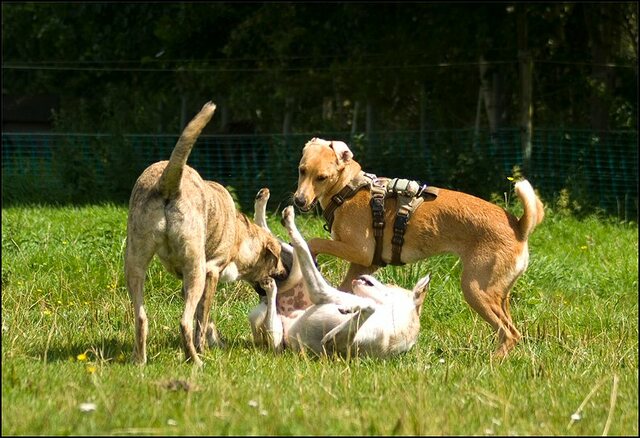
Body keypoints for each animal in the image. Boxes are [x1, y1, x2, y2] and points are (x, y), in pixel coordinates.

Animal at [249, 197, 430, 358]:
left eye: (391, 285)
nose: (363, 273)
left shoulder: (322, 293)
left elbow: (367, 308)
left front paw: (352, 309)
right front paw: (354, 307)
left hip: (276, 337)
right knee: (277, 242)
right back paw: (262, 203)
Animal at [292, 138, 544, 360]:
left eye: (322, 177)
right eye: (301, 170)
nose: (299, 201)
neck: (347, 189)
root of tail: (519, 227)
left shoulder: (361, 251)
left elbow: (315, 242)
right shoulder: (364, 264)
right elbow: (345, 288)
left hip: (474, 289)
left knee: (510, 333)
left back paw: (493, 360)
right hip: (498, 293)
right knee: (510, 329)